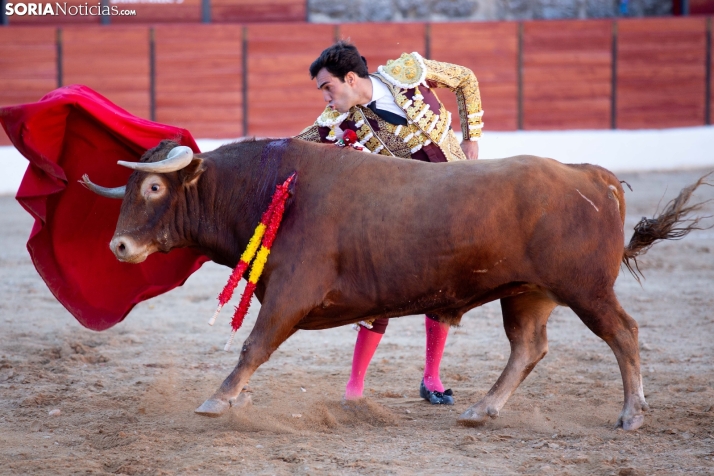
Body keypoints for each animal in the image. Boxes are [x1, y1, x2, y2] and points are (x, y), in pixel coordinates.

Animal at [79, 138, 708, 432]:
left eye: (154, 189)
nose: (119, 247)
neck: (269, 188)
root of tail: (592, 176)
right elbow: (255, 349)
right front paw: (238, 398)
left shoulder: (289, 294)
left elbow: (253, 345)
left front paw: (219, 398)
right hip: (527, 293)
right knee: (529, 347)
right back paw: (481, 409)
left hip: (585, 289)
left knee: (623, 334)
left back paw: (631, 414)